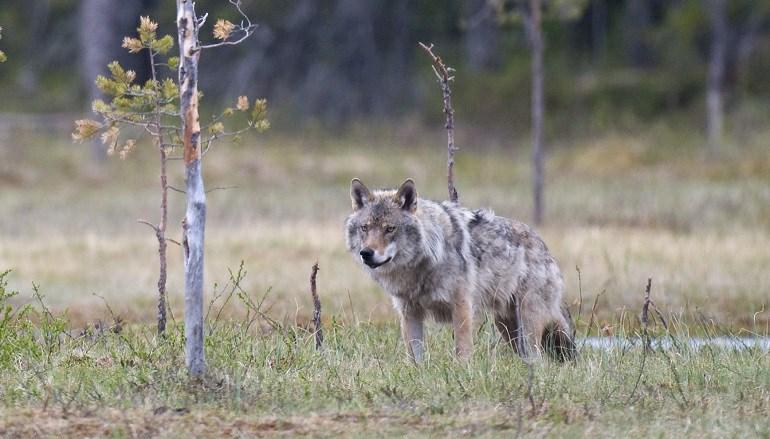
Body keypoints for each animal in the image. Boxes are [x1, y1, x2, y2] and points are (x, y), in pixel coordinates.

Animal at [344, 177, 572, 362]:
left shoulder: (461, 306)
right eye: (365, 228)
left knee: (539, 359)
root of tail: (542, 244)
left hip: (527, 322)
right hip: (507, 326)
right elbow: (414, 354)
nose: (367, 253)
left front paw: (463, 371)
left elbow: (462, 350)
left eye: (390, 229)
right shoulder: (409, 311)